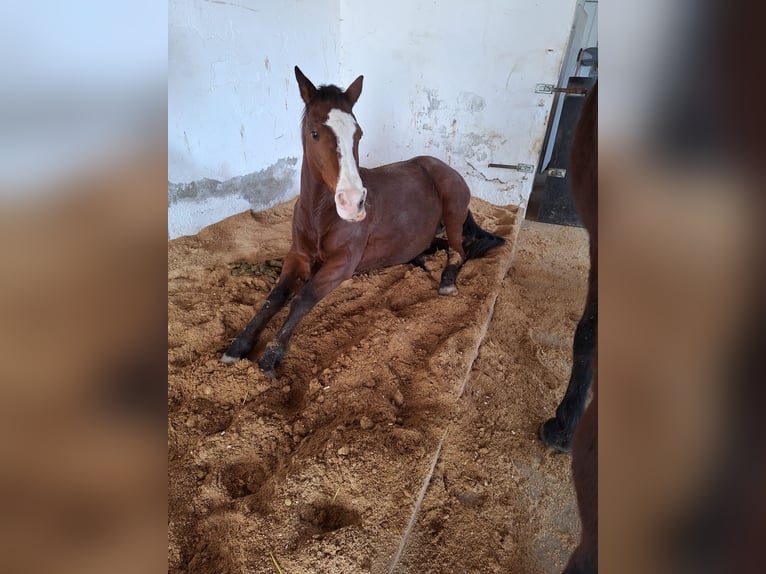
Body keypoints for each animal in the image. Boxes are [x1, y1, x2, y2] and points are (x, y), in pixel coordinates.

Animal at [222, 67, 508, 378]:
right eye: (314, 133)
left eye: (357, 134)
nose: (353, 202)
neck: (319, 214)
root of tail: (444, 167)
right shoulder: (297, 256)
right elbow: (274, 297)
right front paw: (238, 346)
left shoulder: (343, 264)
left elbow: (301, 299)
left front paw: (271, 356)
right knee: (439, 246)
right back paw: (420, 258)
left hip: (454, 212)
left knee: (459, 250)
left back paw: (446, 281)